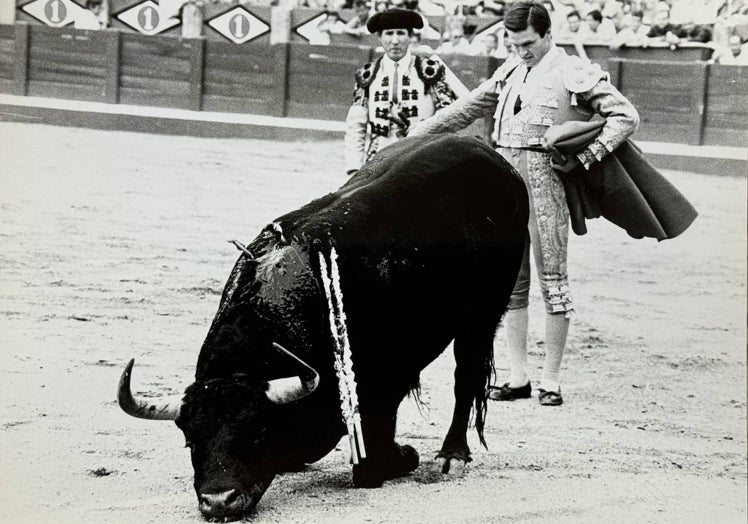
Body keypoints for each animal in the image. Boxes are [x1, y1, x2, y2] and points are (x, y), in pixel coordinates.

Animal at [117, 135, 528, 520]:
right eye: (190, 441)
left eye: (259, 433)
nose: (219, 501)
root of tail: (487, 153)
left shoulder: (381, 387)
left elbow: (369, 465)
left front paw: (405, 454)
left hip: (482, 315)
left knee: (466, 378)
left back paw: (452, 454)